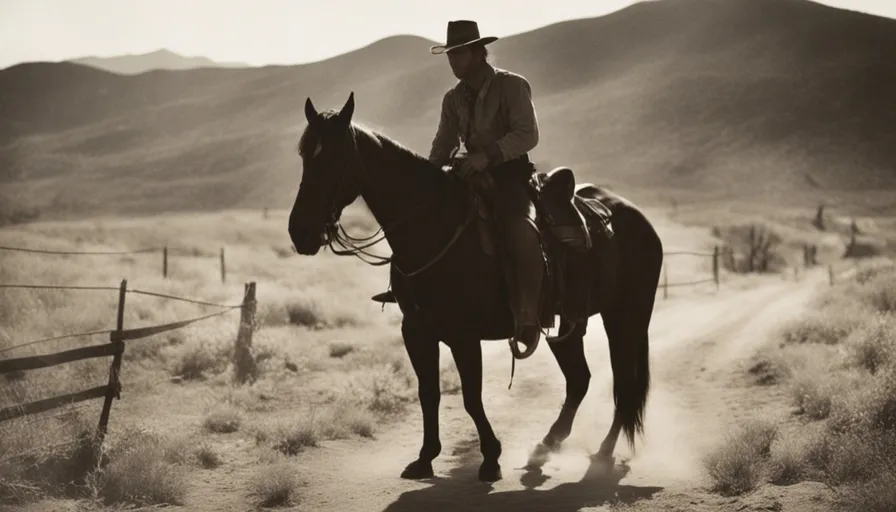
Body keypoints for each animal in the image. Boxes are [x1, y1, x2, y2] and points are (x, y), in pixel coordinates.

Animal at [290, 93, 660, 484]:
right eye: (304, 156)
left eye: (336, 158)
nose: (300, 232)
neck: (435, 225)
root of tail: (638, 218)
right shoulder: (417, 331)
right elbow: (429, 393)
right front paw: (425, 457)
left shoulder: (463, 335)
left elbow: (471, 397)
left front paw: (490, 458)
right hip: (568, 325)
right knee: (579, 380)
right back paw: (544, 447)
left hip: (626, 318)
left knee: (624, 384)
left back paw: (602, 453)